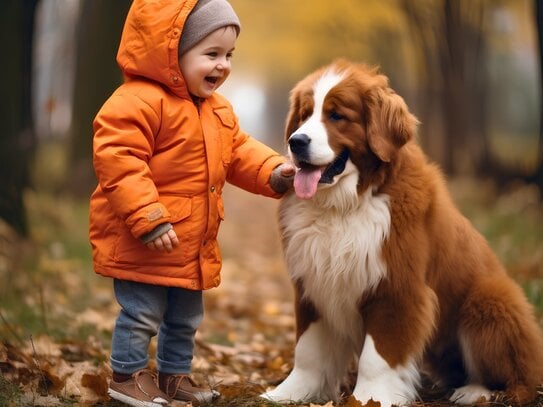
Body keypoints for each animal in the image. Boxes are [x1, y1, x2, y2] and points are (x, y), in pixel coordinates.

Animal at [260, 59, 543, 406]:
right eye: (304, 115)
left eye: (337, 115)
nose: (296, 142)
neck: (346, 203)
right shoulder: (312, 283)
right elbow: (308, 351)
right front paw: (289, 392)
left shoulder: (395, 288)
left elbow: (377, 357)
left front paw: (370, 398)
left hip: (490, 300)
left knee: (517, 380)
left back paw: (475, 391)